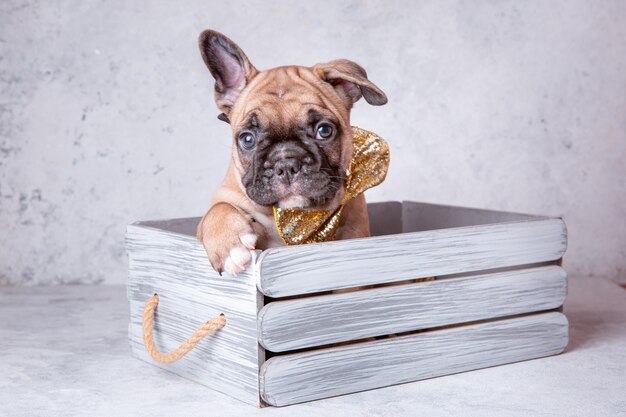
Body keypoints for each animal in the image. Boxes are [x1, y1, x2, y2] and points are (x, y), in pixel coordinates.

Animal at [195, 30, 386, 274]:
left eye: (324, 131)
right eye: (247, 139)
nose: (286, 164)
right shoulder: (222, 201)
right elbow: (217, 210)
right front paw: (230, 245)